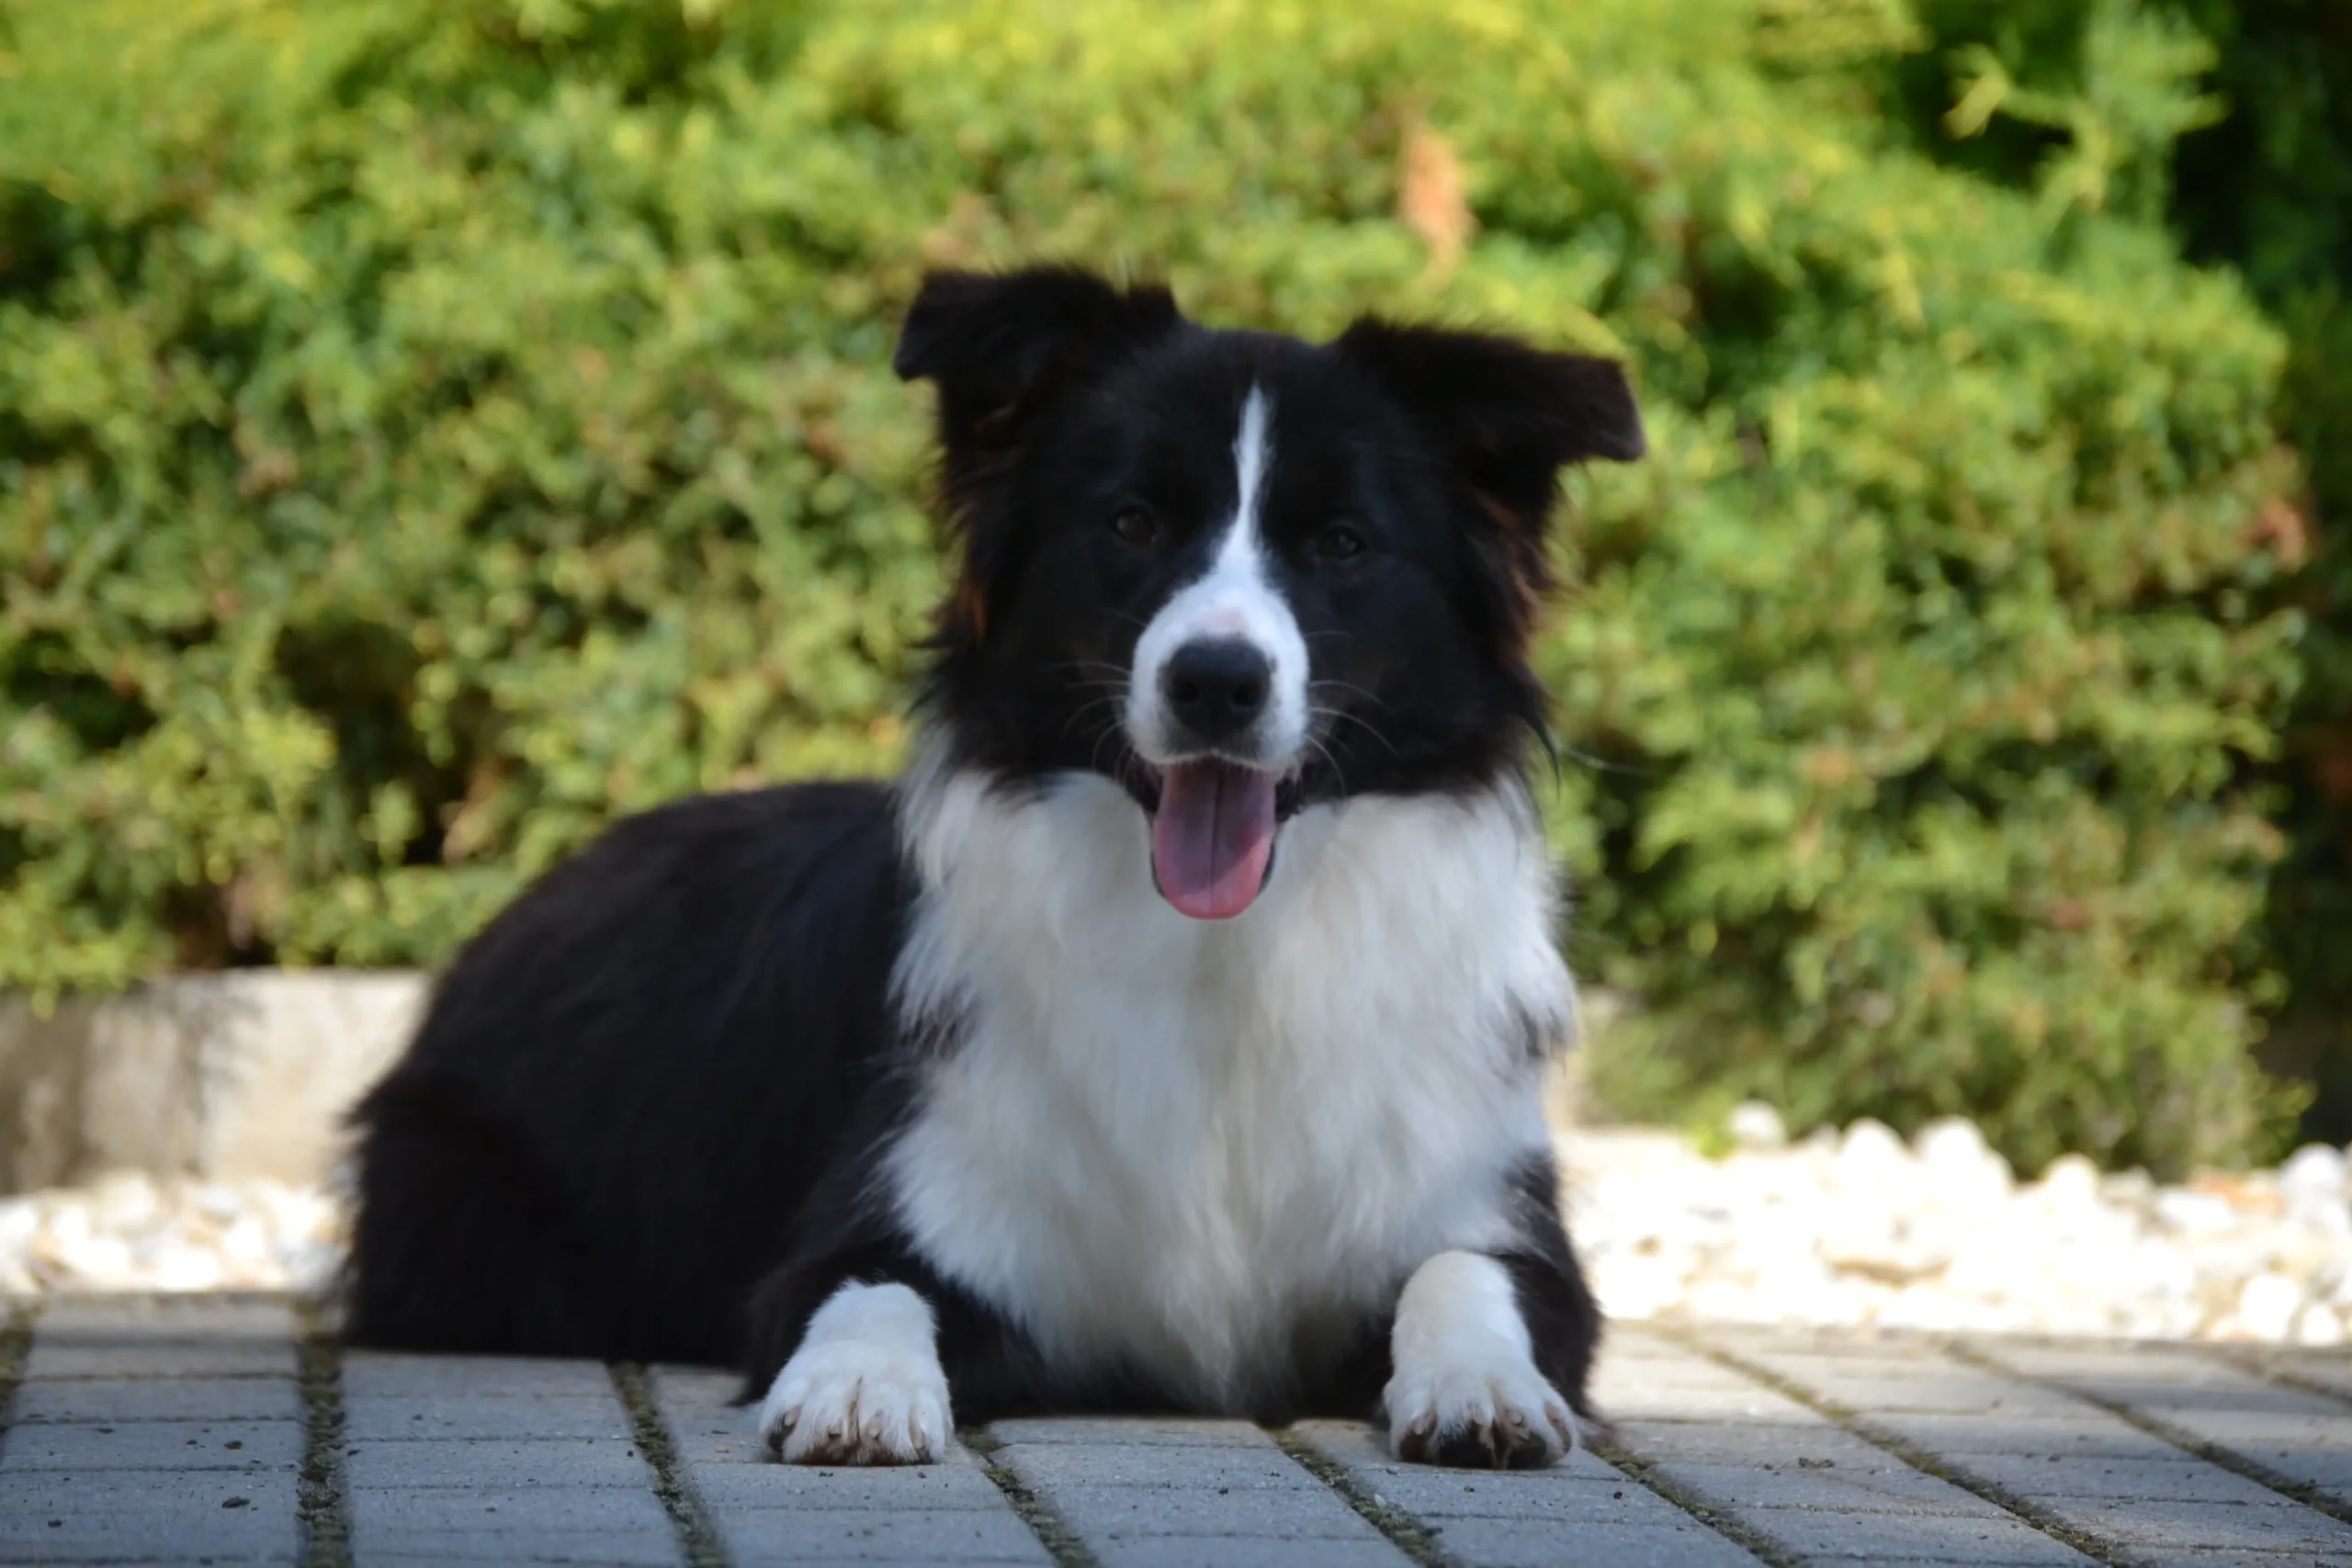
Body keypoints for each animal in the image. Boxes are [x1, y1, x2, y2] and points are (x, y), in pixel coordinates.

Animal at [343, 266, 1636, 1476]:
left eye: (1344, 544)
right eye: (1130, 524)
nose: (1215, 682)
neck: (1220, 952)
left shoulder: (1493, 1210)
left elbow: (1465, 1275)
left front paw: (1483, 1387)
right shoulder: (894, 1197)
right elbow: (865, 1287)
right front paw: (860, 1390)